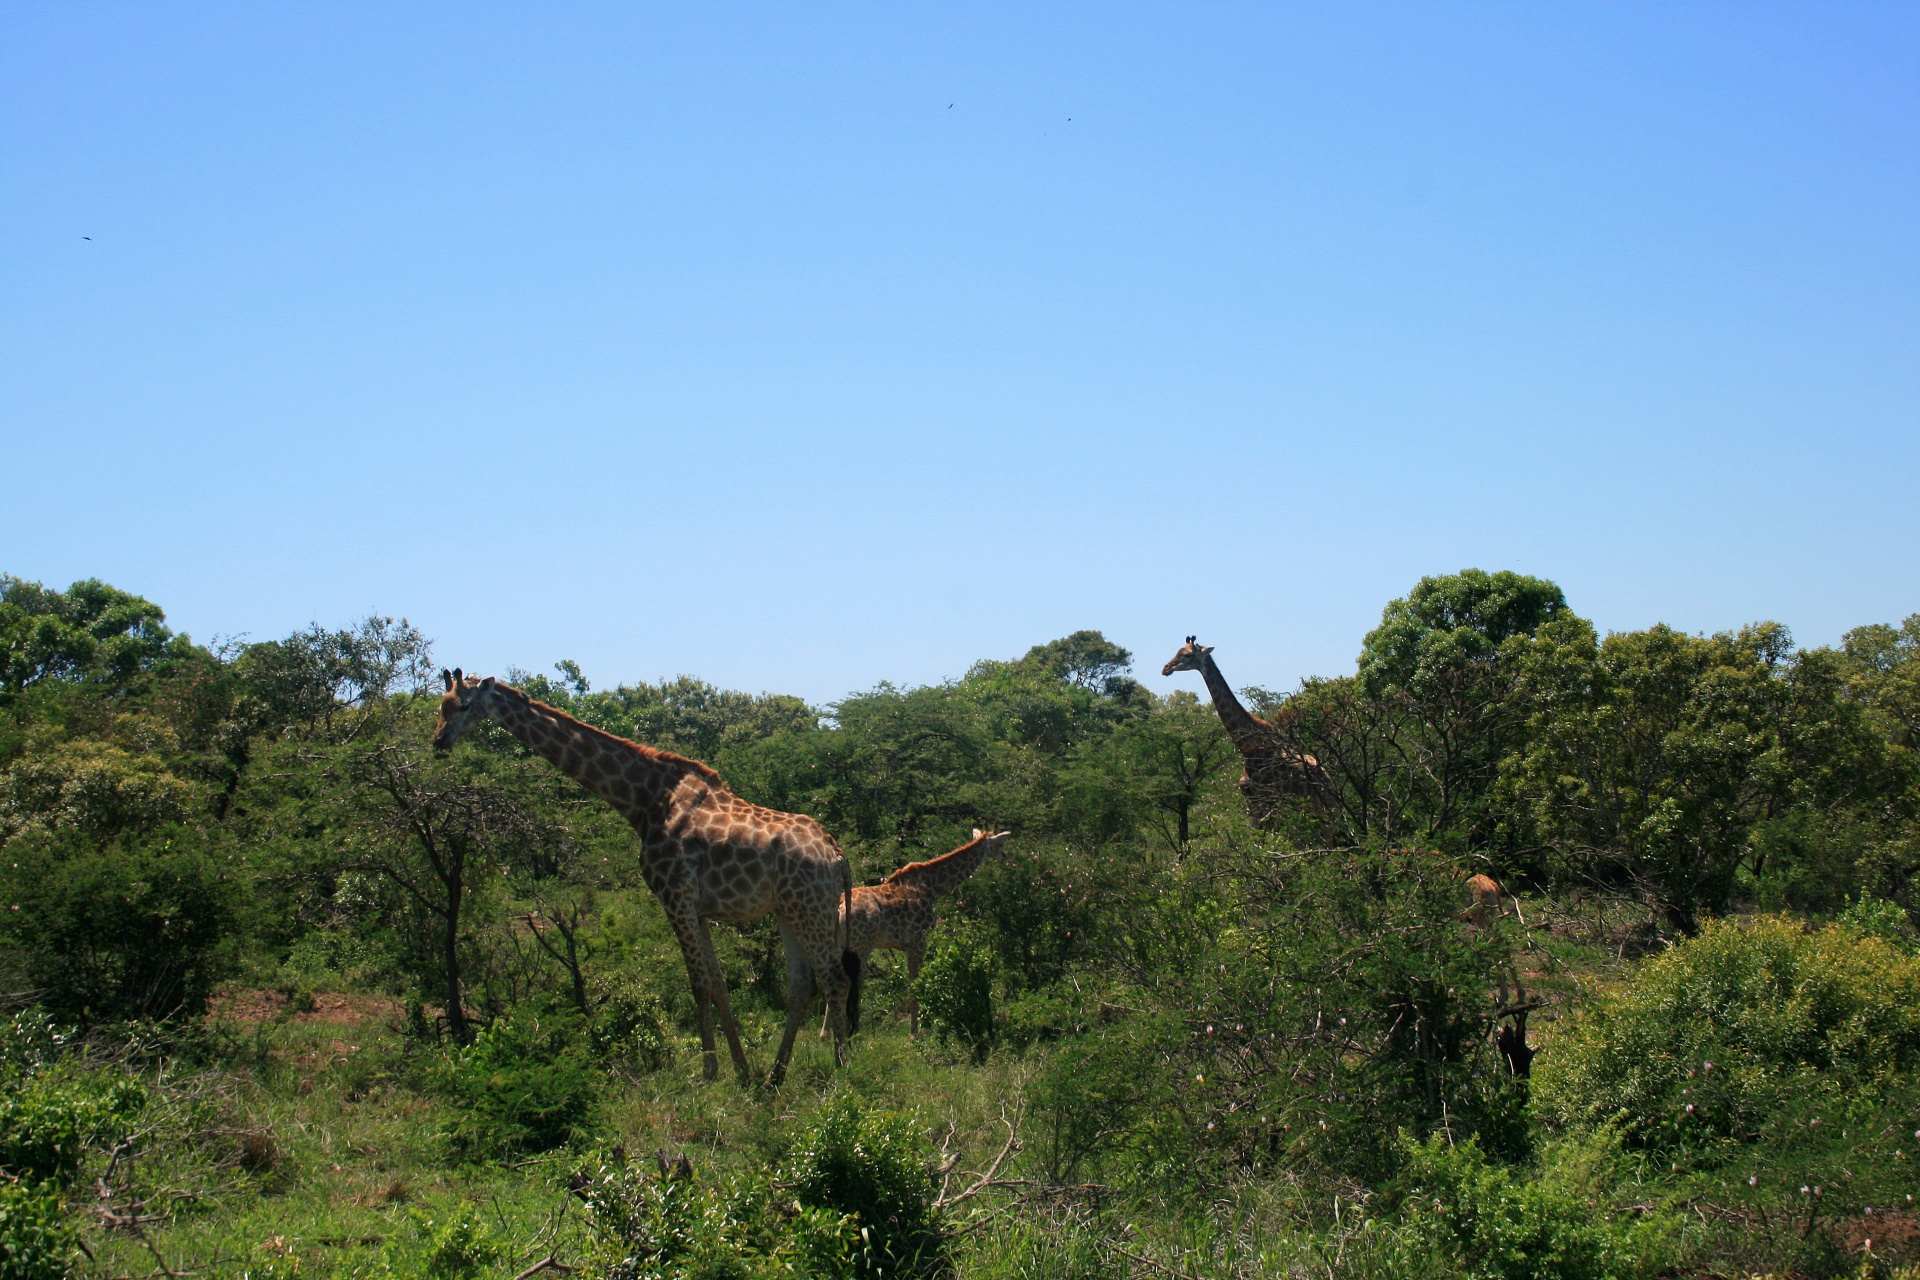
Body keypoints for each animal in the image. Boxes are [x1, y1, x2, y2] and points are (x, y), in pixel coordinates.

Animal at [439, 667, 860, 1090]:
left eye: (464, 706)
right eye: (441, 705)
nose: (438, 741)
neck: (643, 801)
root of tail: (837, 854)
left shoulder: (674, 896)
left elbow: (698, 984)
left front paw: (708, 1072)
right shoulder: (698, 909)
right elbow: (719, 986)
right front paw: (741, 1071)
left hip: (811, 910)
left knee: (835, 980)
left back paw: (841, 1070)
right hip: (788, 912)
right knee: (802, 986)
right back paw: (775, 1074)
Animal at [825, 832, 1013, 1043]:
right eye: (999, 844)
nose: (1005, 857)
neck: (932, 887)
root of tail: (839, 908)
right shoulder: (917, 940)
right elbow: (915, 984)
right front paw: (914, 1034)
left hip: (837, 945)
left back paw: (826, 1034)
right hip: (861, 947)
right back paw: (852, 1033)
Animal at [1159, 640, 1328, 832]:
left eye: (1187, 655)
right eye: (1177, 651)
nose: (1165, 668)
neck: (1247, 746)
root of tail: (1326, 775)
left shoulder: (1266, 802)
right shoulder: (1252, 804)